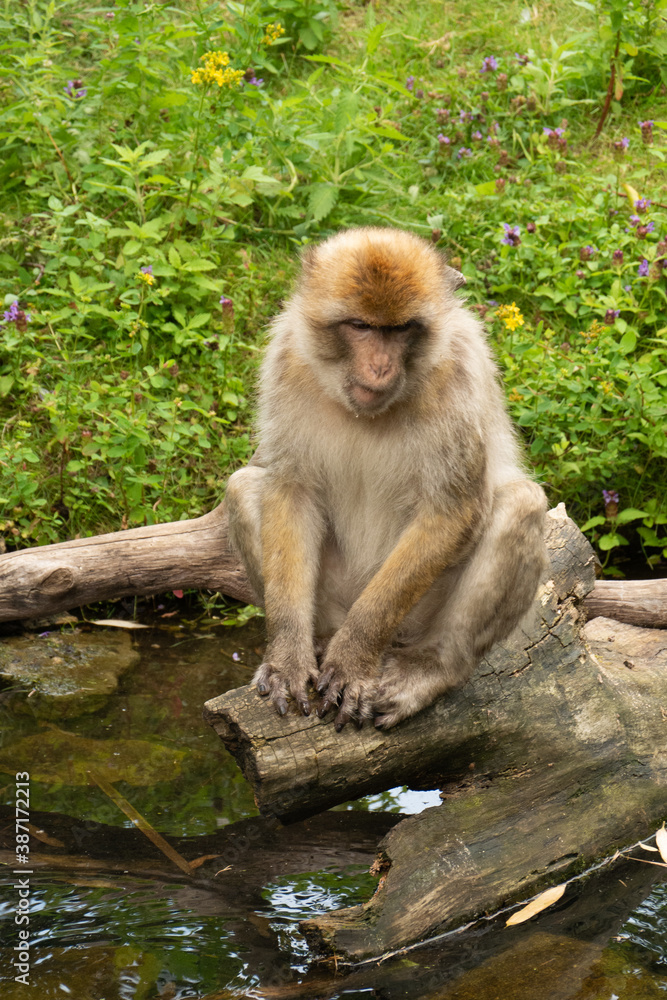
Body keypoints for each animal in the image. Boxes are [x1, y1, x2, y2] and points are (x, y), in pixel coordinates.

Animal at [225, 227, 548, 730]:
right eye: (361, 326)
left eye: (399, 330)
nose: (380, 367)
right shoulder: (286, 360)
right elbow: (291, 489)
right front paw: (287, 657)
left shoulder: (455, 376)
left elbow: (453, 510)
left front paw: (354, 658)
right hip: (336, 596)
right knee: (243, 487)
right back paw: (321, 641)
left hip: (414, 618)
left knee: (522, 503)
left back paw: (431, 667)